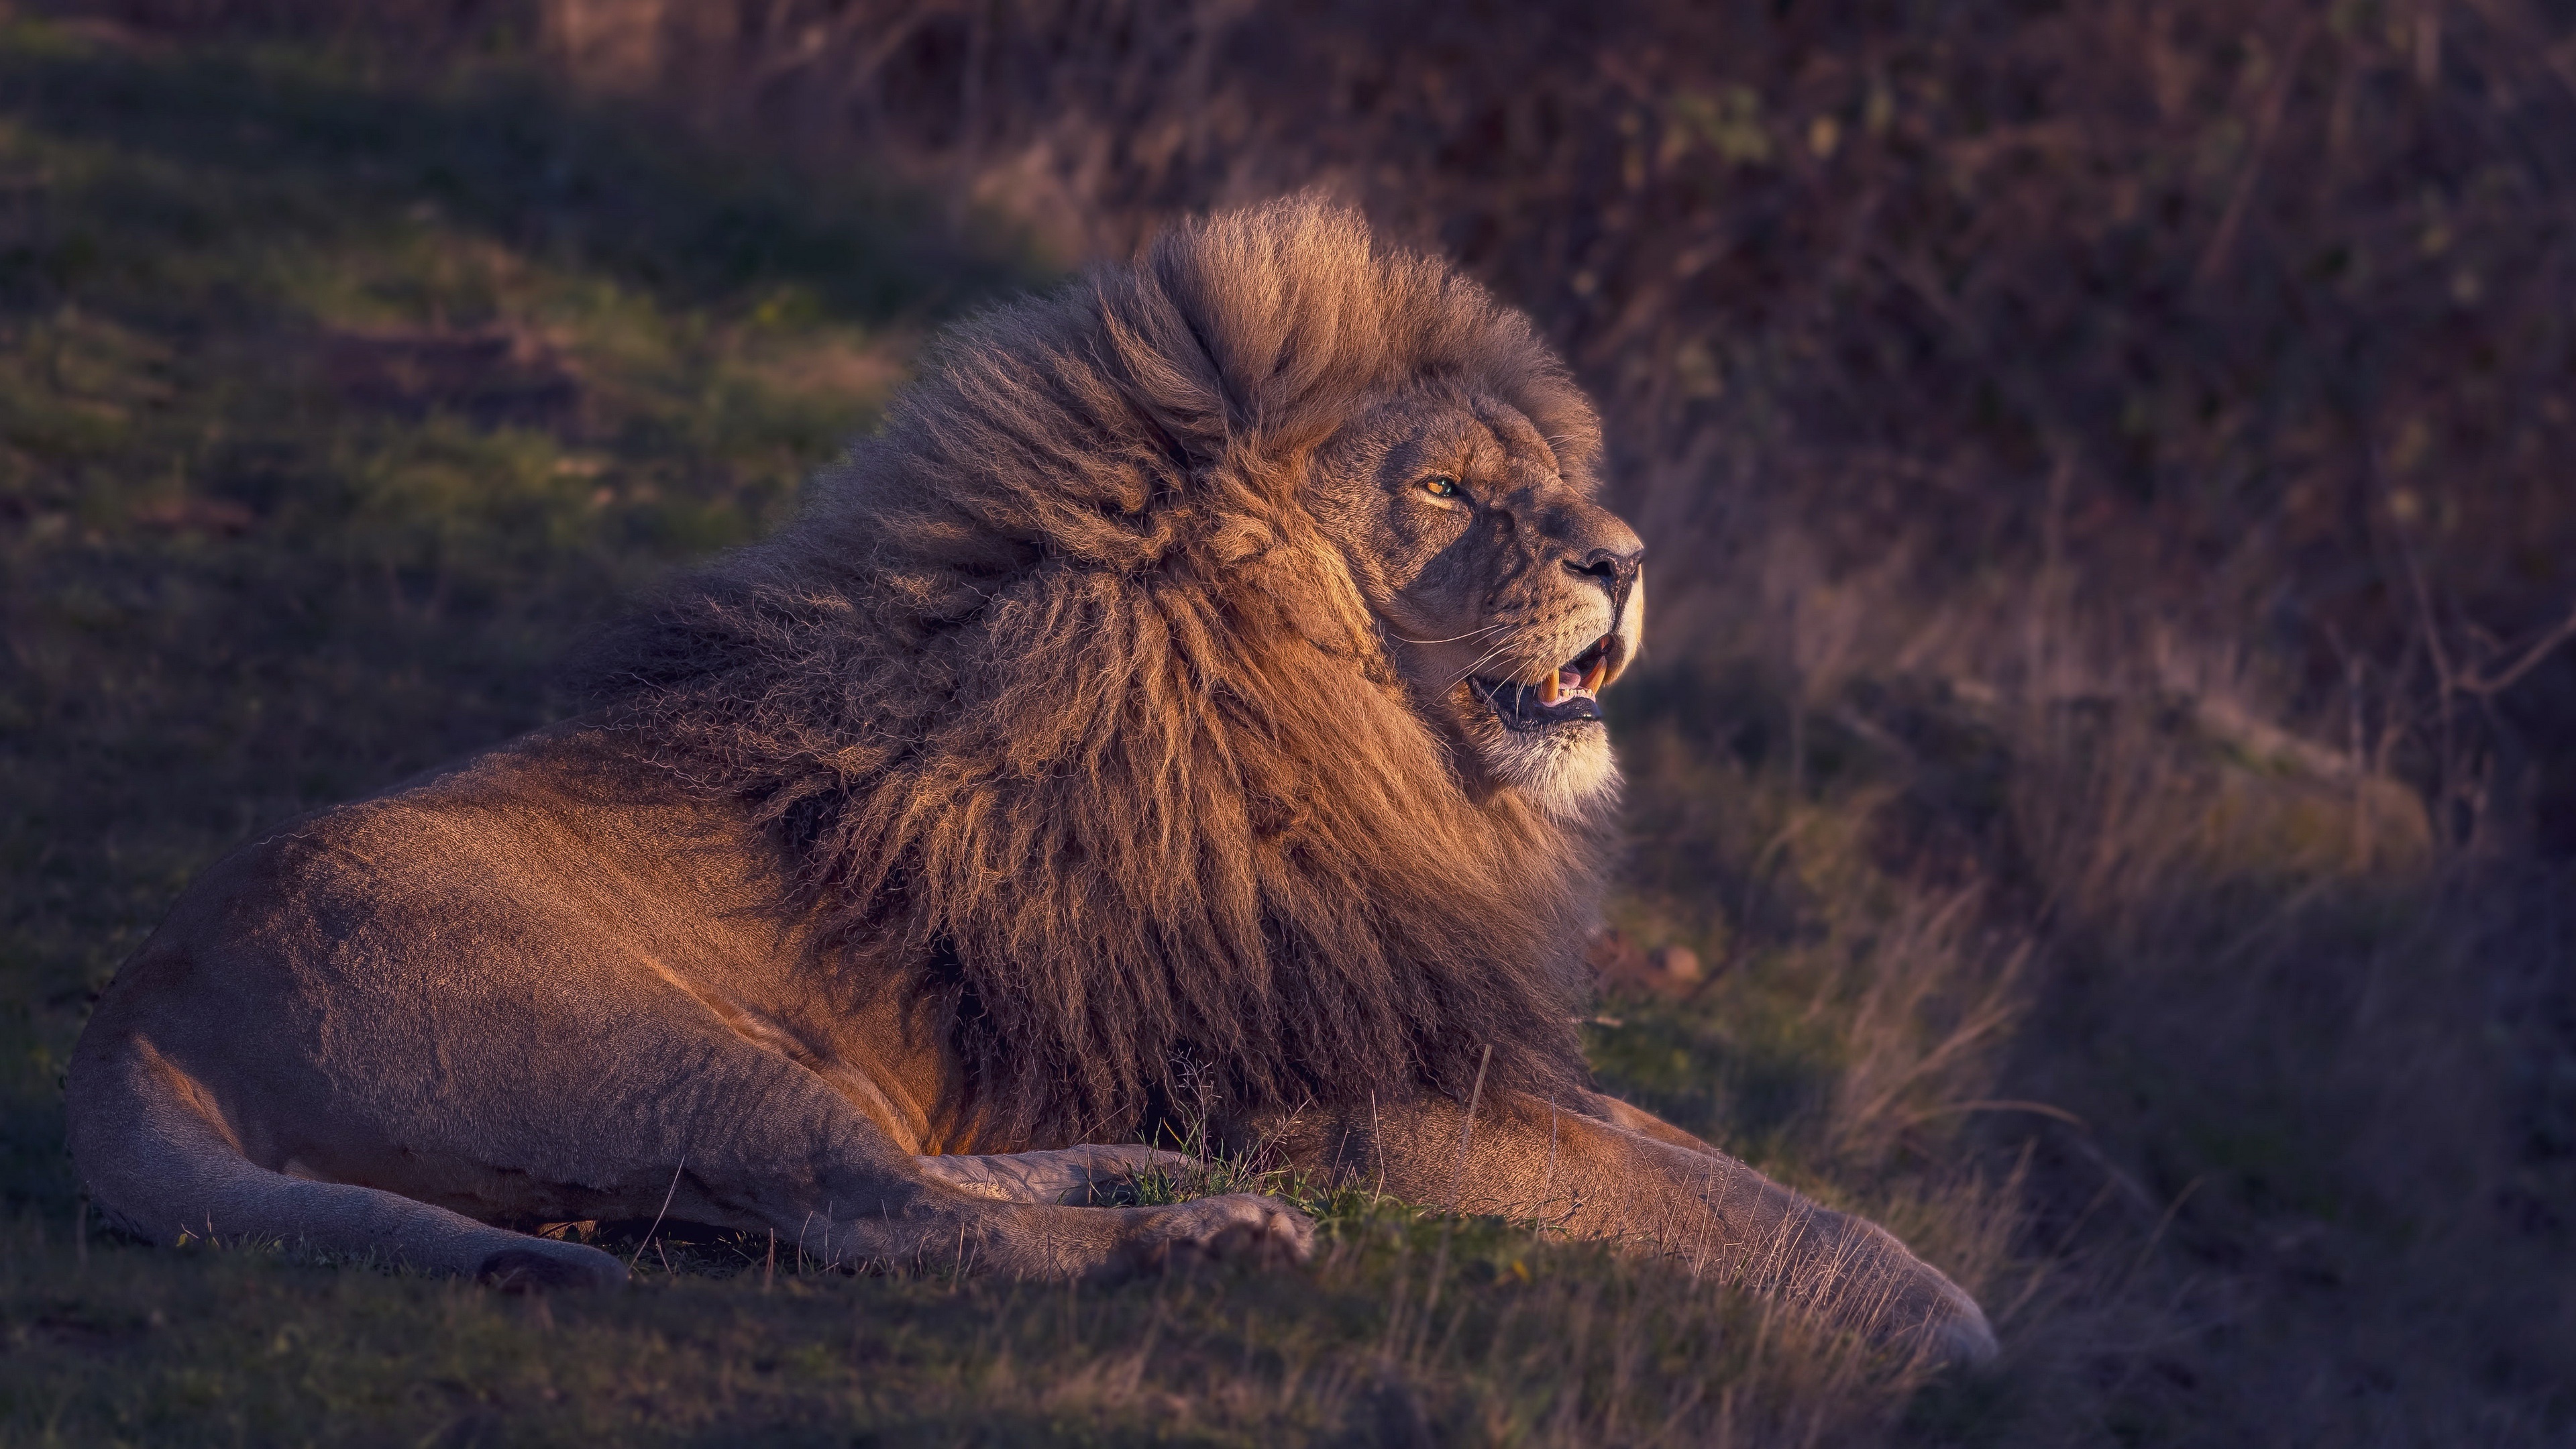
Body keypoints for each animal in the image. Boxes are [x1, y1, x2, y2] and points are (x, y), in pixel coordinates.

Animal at [66, 198, 1995, 1362]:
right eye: (1449, 491)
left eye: (1543, 481)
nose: (1628, 556)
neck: (1352, 750)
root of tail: (129, 1011)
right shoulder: (1360, 1107)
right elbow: (1734, 1216)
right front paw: (1965, 1342)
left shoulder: (1440, 1045)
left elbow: (1727, 1174)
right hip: (650, 1049)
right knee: (879, 1225)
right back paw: (1204, 1240)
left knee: (899, 1187)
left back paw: (1136, 1176)